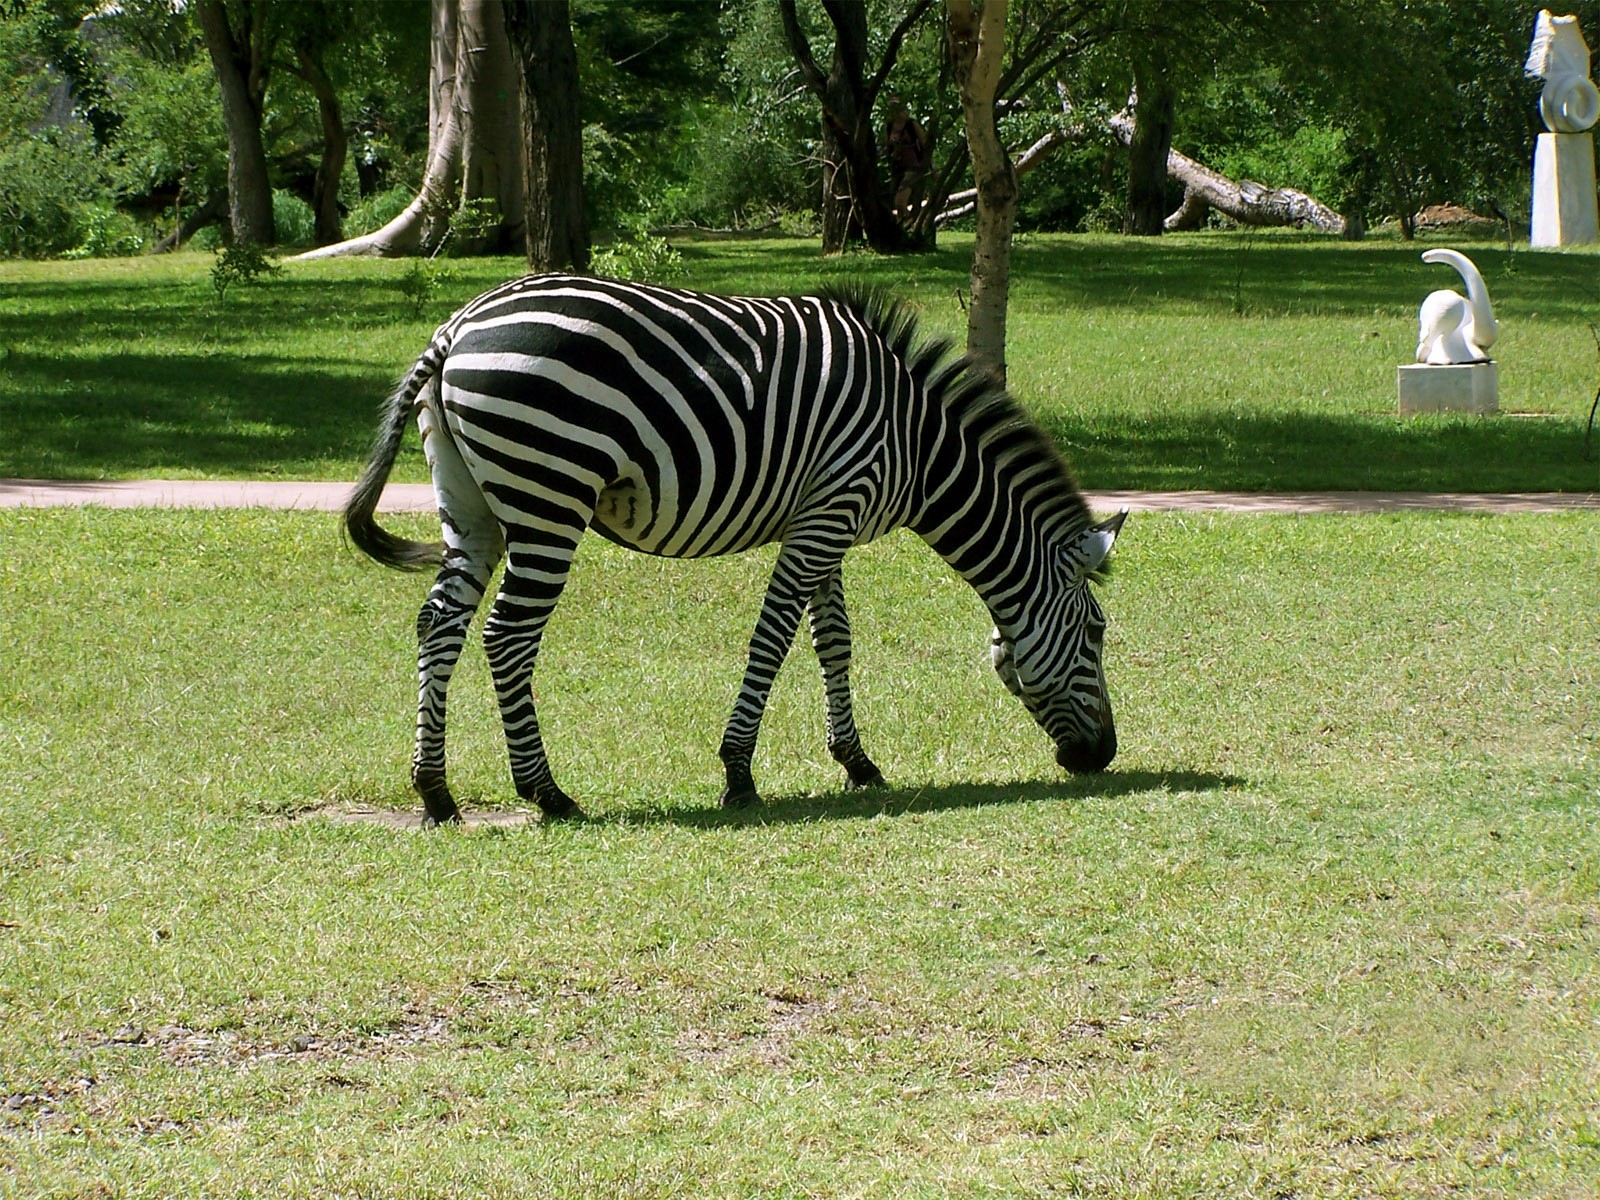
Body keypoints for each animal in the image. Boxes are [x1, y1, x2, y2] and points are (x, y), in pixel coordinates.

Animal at [344, 274, 1127, 823]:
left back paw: (435, 792)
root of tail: (456, 327)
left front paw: (857, 762)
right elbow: (774, 638)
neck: (920, 446)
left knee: (439, 623)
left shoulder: (825, 517)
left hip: (471, 506)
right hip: (548, 496)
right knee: (507, 636)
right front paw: (738, 772)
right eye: (1096, 632)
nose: (1102, 758)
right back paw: (547, 793)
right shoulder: (830, 511)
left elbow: (834, 639)